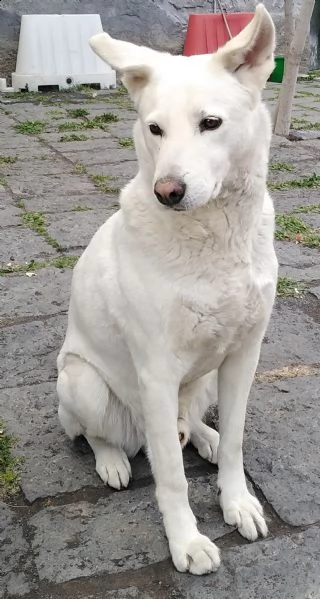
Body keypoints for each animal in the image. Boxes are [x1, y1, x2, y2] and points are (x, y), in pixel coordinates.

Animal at [57, 3, 278, 576]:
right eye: (154, 128)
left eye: (211, 123)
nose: (167, 192)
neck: (215, 239)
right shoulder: (156, 372)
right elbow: (172, 479)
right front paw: (187, 541)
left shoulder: (244, 355)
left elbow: (238, 440)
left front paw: (236, 500)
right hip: (81, 383)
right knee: (100, 435)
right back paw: (114, 460)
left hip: (202, 383)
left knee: (188, 427)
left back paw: (203, 437)